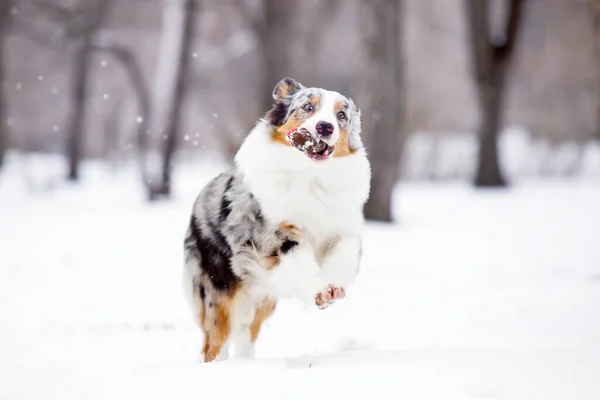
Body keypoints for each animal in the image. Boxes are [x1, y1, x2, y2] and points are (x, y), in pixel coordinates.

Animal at [183, 76, 370, 360]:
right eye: (307, 107)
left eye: (341, 115)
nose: (325, 127)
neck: (309, 176)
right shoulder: (275, 237)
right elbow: (302, 263)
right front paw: (321, 290)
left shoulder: (341, 227)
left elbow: (344, 255)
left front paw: (335, 286)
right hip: (219, 292)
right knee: (215, 342)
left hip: (263, 299)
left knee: (247, 334)